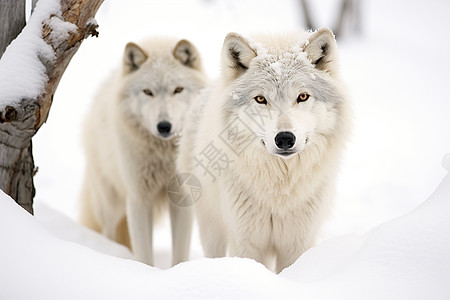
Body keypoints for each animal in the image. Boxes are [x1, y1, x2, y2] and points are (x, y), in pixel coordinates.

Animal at [79, 37, 207, 264]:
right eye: (148, 92)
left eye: (178, 89)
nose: (164, 126)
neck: (164, 156)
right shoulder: (138, 198)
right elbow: (144, 253)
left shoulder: (183, 198)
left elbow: (180, 252)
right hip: (111, 204)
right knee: (108, 231)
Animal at [177, 29, 352, 274]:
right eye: (261, 99)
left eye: (303, 96)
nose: (285, 138)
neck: (280, 189)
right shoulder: (247, 242)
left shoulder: (298, 243)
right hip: (212, 228)